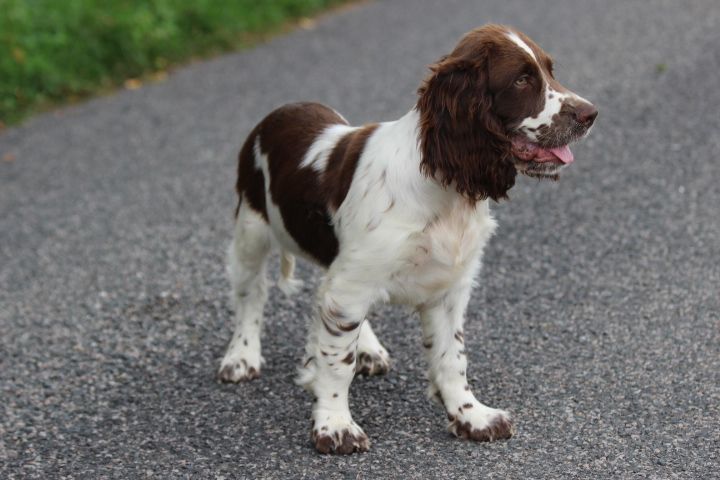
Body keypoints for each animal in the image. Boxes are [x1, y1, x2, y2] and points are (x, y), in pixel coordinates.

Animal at [217, 24, 597, 454]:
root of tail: (278, 112)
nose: (590, 114)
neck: (444, 187)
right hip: (251, 230)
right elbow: (337, 363)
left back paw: (367, 349)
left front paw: (471, 416)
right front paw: (335, 426)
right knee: (251, 294)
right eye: (521, 79)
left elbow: (452, 357)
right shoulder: (353, 281)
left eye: (550, 70)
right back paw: (241, 357)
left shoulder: (447, 289)